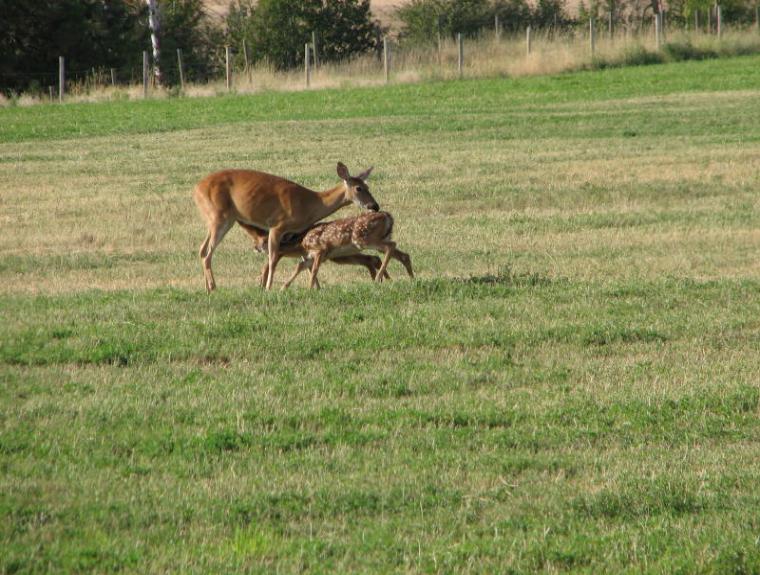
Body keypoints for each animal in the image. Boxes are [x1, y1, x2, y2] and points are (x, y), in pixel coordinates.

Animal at [193, 162, 378, 292]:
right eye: (359, 188)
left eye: (368, 186)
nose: (375, 206)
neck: (310, 204)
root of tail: (196, 189)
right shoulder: (278, 225)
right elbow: (273, 258)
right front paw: (269, 288)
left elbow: (306, 261)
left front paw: (316, 288)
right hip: (219, 216)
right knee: (208, 253)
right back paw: (213, 287)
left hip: (218, 219)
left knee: (202, 249)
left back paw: (207, 288)